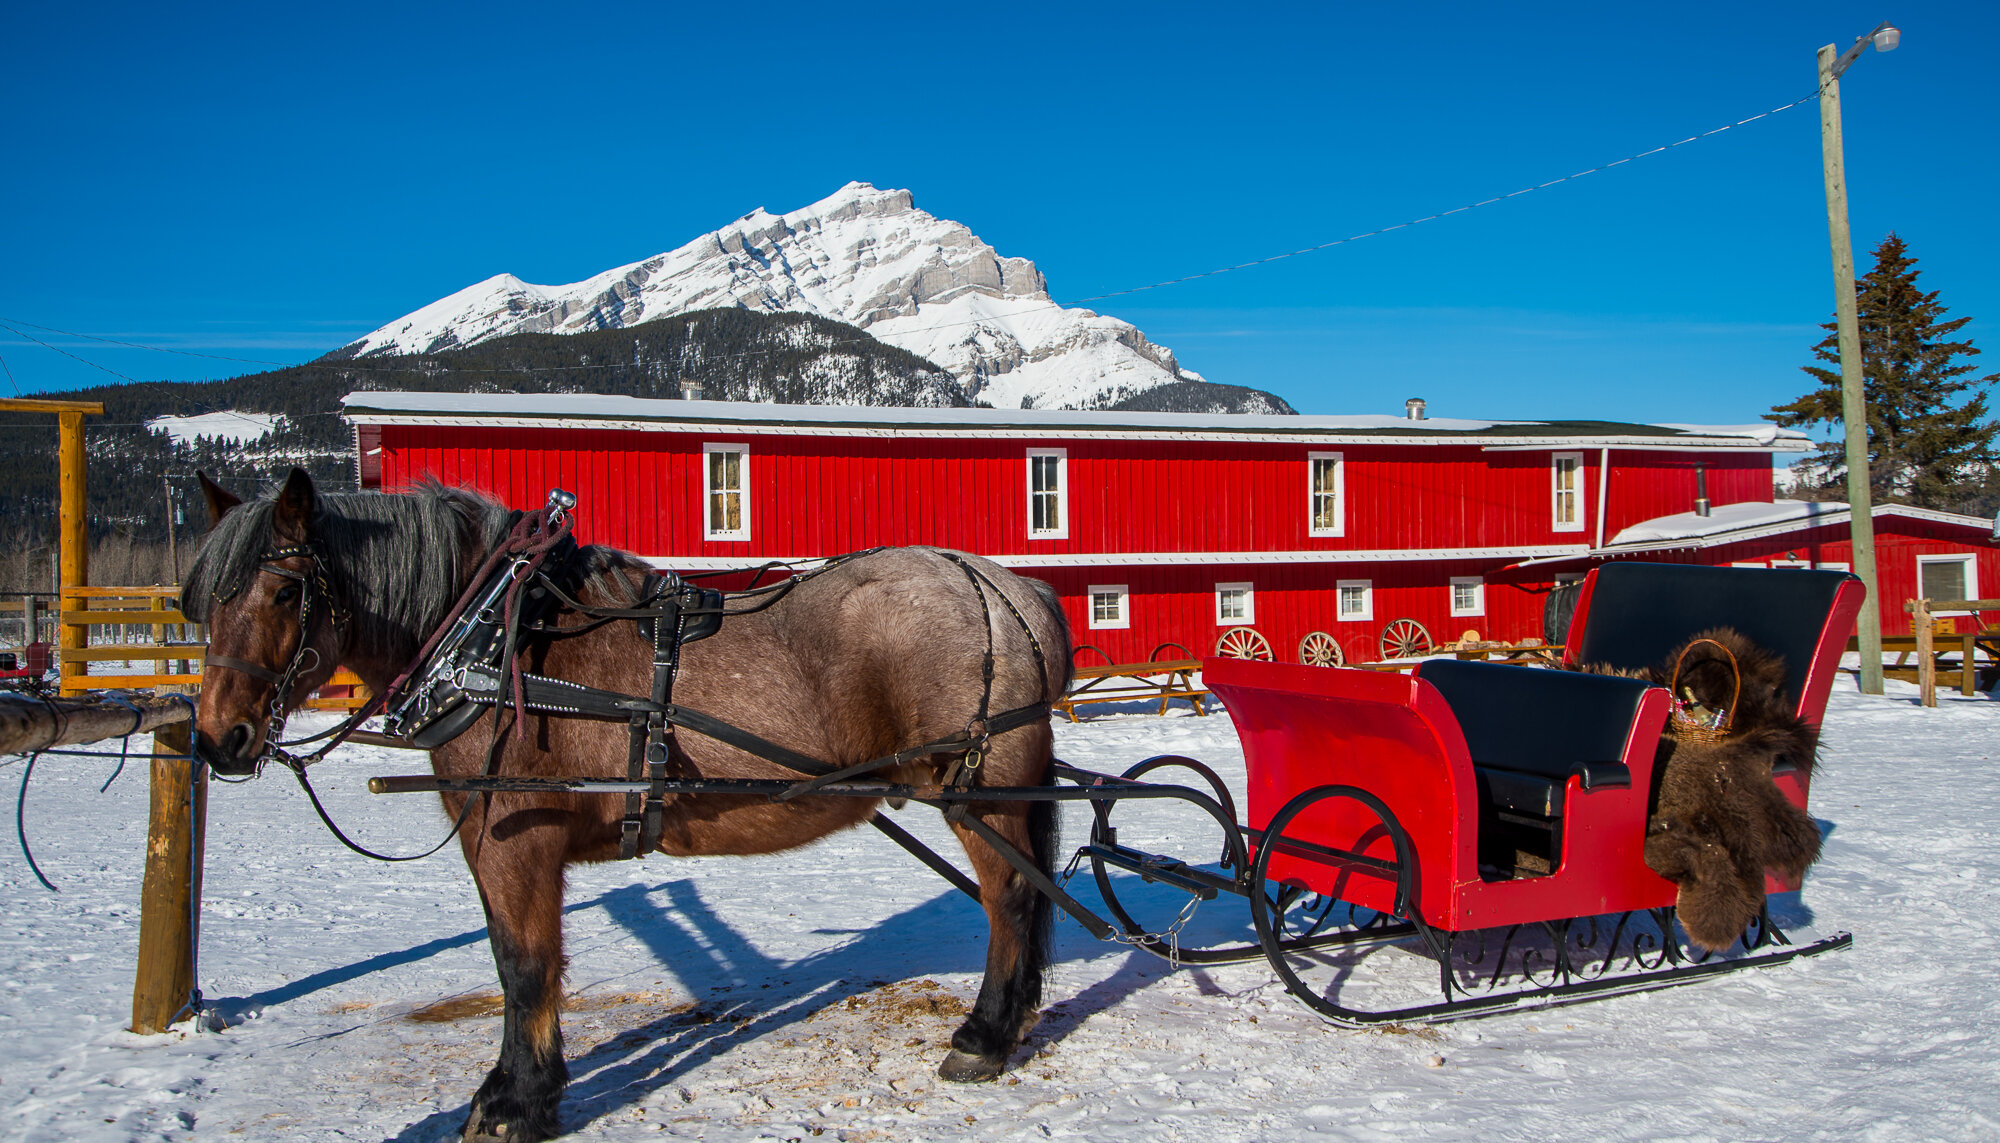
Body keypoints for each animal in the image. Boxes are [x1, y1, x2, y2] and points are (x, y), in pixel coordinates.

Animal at [180, 465, 1072, 1143]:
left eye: (285, 591)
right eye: (204, 603)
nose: (219, 737)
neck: (495, 643)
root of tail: (1007, 589)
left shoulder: (513, 837)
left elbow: (524, 965)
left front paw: (515, 1101)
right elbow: (520, 961)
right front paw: (520, 1090)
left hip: (978, 791)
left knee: (1010, 899)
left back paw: (984, 1035)